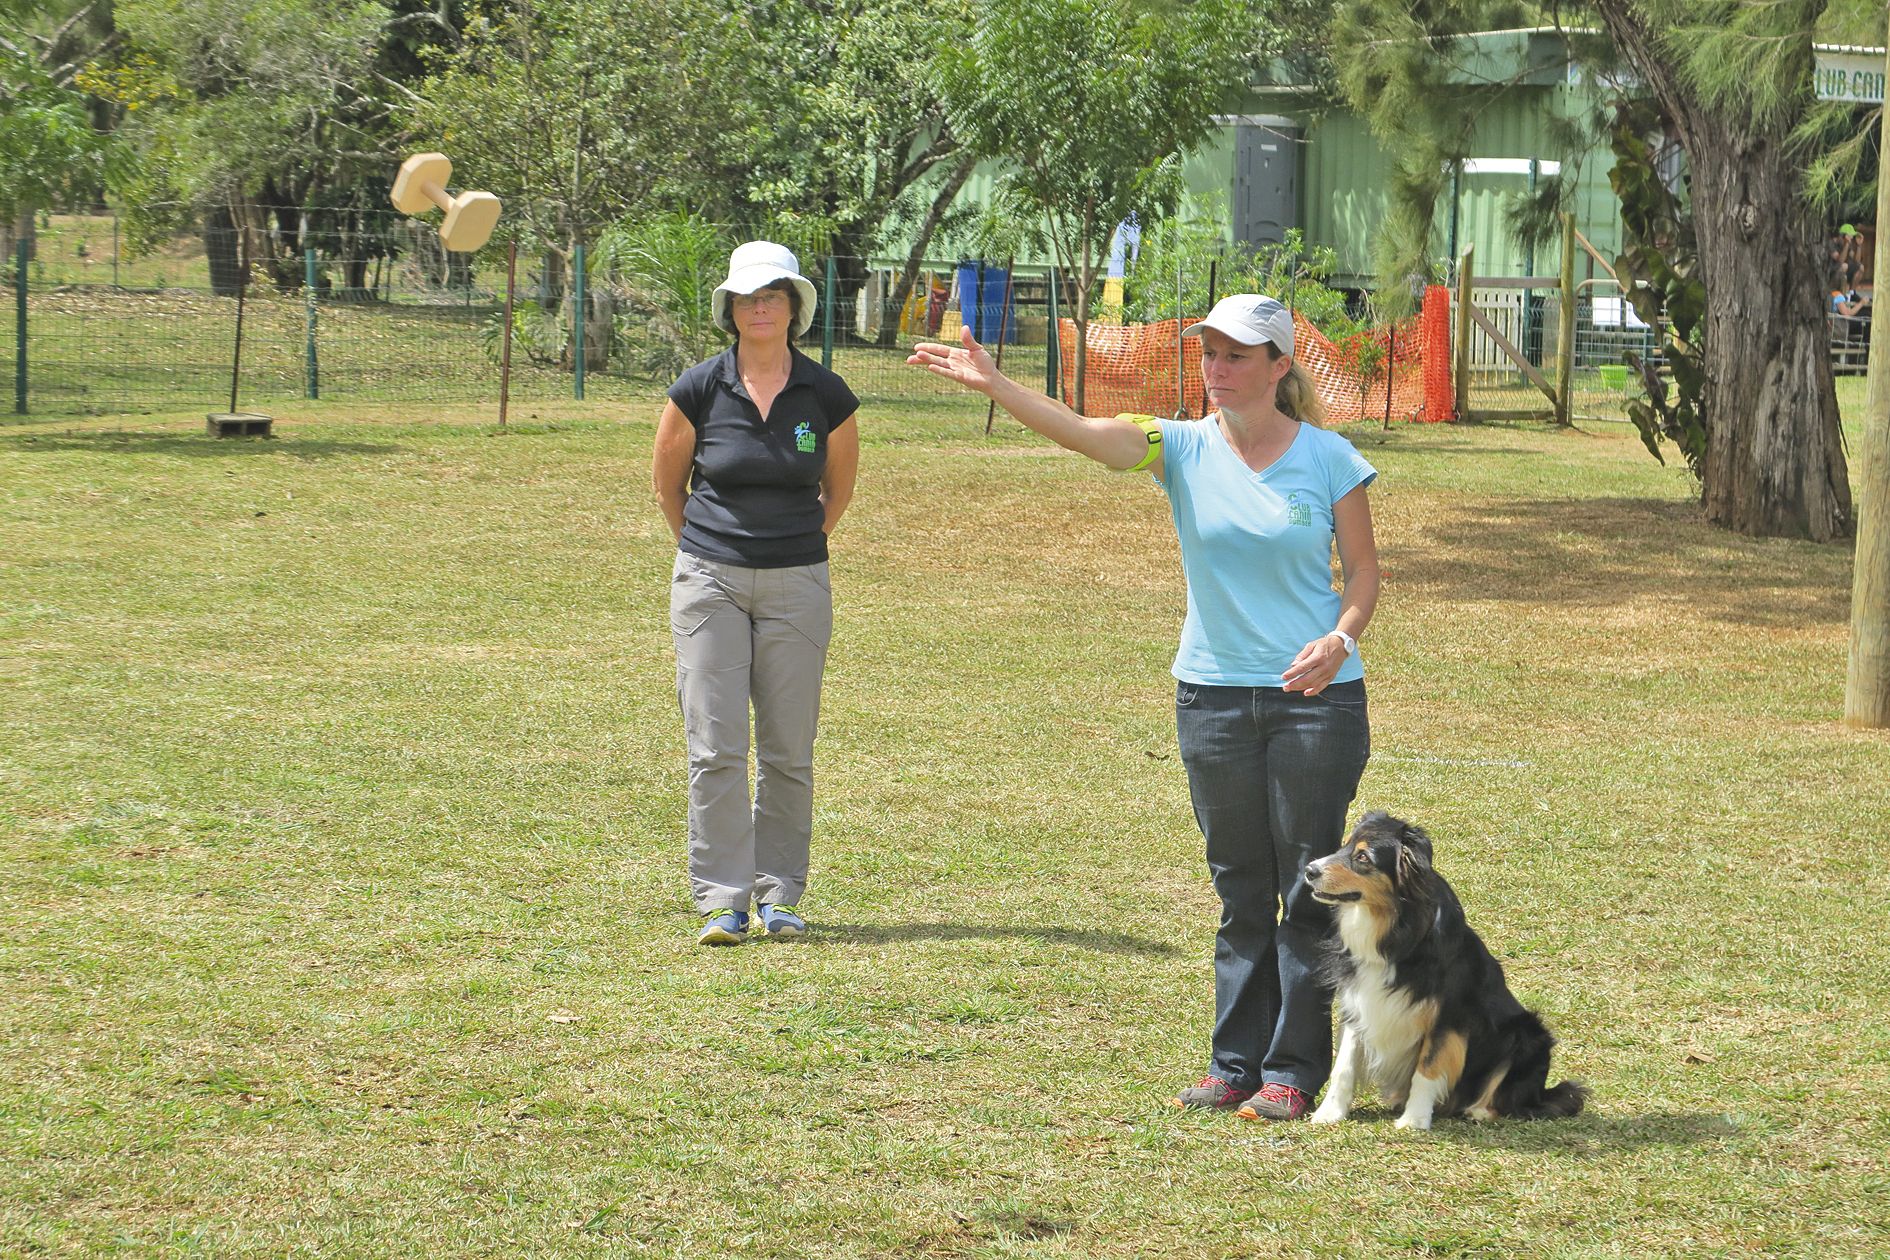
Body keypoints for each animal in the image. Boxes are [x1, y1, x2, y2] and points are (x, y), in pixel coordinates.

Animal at [1307, 819, 1587, 1133]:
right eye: (1344, 846)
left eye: (1363, 857)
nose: (1309, 870)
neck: (1396, 931)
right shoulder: (1358, 1001)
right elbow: (1344, 1065)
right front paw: (1329, 1112)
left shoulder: (1448, 1017)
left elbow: (1427, 1068)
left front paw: (1414, 1120)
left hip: (1528, 1036)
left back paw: (1478, 1110)